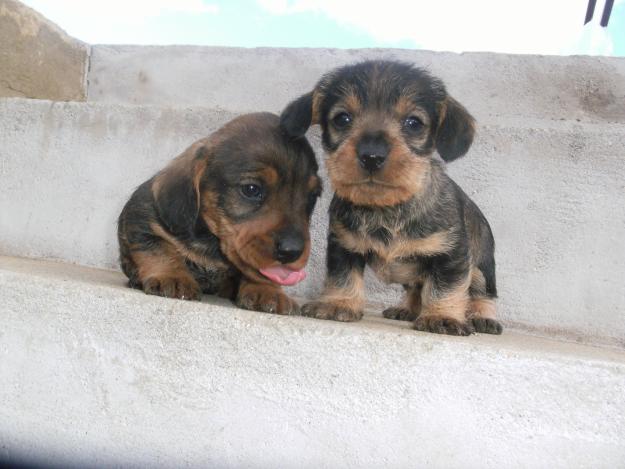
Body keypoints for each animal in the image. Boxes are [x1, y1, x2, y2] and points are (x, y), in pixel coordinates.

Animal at [117, 112, 322, 314]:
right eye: (251, 189)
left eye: (312, 197)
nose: (292, 251)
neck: (211, 242)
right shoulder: (143, 218)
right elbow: (160, 250)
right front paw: (173, 277)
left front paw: (268, 291)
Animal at [280, 60, 500, 334]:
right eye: (342, 118)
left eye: (414, 123)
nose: (371, 155)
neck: (386, 209)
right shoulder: (343, 247)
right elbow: (343, 277)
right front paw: (338, 303)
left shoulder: (451, 256)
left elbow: (445, 289)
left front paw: (442, 316)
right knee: (416, 289)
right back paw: (406, 309)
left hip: (482, 268)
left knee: (482, 294)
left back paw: (483, 317)